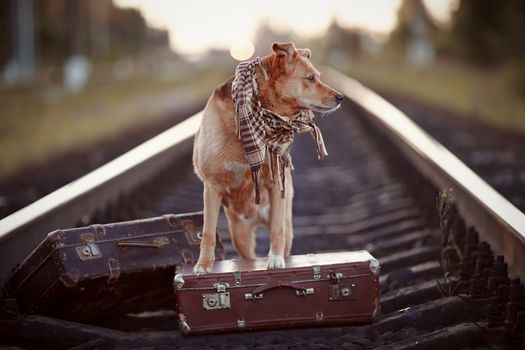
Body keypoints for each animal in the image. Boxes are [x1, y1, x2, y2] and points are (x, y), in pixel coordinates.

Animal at [190, 41, 342, 274]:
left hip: (285, 221)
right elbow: (207, 231)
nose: (341, 97)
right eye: (310, 78)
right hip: (239, 235)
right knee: (248, 256)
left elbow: (277, 231)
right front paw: (203, 265)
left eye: (317, 76)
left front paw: (275, 260)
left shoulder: (275, 183)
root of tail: (257, 217)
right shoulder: (212, 186)